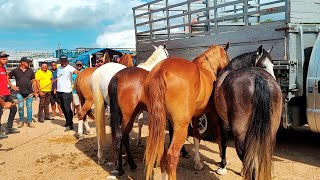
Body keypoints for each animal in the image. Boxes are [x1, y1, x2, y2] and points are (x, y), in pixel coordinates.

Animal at [144, 44, 229, 180]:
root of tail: (160, 71)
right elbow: (218, 136)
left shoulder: (195, 116)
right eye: (226, 56)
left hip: (159, 123)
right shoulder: (213, 115)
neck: (205, 69)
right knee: (172, 154)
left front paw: (198, 163)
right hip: (180, 126)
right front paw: (222, 162)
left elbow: (196, 137)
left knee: (162, 151)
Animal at [214, 45, 282, 179]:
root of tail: (258, 78)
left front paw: (223, 167)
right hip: (271, 134)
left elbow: (224, 142)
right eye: (264, 65)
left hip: (240, 135)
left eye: (273, 66)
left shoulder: (222, 121)